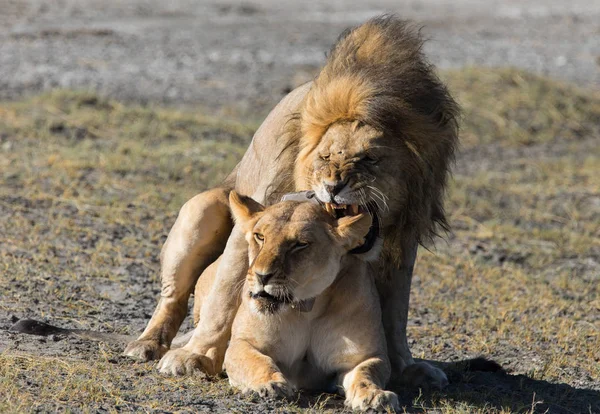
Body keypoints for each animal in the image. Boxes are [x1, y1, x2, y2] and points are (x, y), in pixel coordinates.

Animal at [124, 15, 458, 388]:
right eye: (325, 156)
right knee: (174, 298)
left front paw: (405, 367)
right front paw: (195, 356)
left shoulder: (403, 243)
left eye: (370, 159)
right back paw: (148, 345)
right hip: (202, 209)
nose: (333, 185)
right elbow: (224, 296)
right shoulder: (253, 217)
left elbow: (395, 313)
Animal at [171, 192, 400, 412]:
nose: (262, 276)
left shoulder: (364, 356)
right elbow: (257, 361)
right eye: (260, 237)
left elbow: (366, 373)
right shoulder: (244, 343)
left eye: (300, 244)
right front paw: (270, 384)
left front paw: (375, 396)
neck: (307, 308)